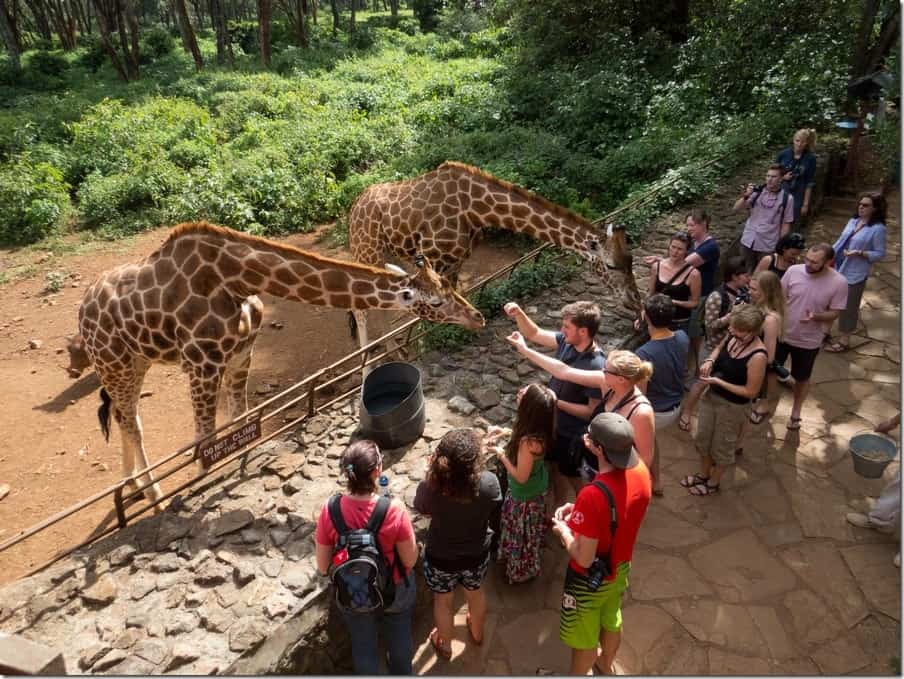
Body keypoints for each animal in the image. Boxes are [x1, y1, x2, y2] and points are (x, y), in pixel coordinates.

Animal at [76, 220, 488, 502]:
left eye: (448, 286)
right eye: (436, 302)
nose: (478, 317)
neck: (235, 280)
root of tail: (83, 311)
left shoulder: (243, 352)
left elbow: (241, 419)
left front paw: (242, 464)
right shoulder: (201, 362)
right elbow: (205, 442)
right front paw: (203, 485)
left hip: (136, 361)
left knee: (125, 417)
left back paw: (131, 484)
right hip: (114, 362)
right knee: (132, 422)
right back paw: (154, 495)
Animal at [348, 161, 644, 348]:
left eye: (630, 260)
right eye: (611, 265)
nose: (635, 302)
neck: (475, 208)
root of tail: (355, 206)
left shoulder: (454, 262)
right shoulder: (435, 257)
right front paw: (423, 348)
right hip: (367, 248)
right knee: (362, 307)